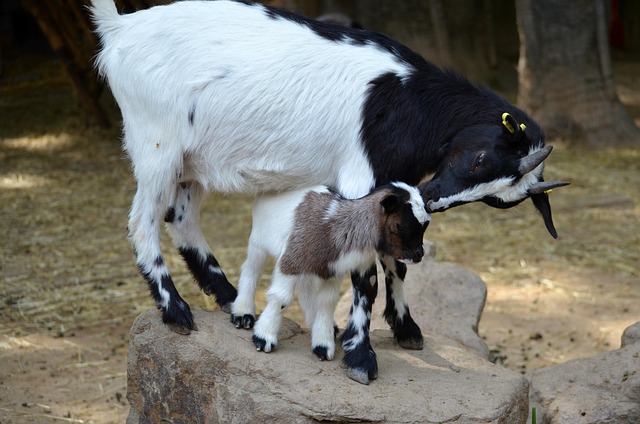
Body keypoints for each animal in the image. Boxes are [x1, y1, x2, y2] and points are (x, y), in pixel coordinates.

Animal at [232, 183, 429, 372]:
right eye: (402, 226)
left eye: (425, 225)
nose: (419, 255)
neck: (337, 227)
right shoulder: (291, 260)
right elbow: (281, 299)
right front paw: (263, 338)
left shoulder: (332, 272)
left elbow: (327, 302)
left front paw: (323, 345)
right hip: (258, 240)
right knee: (250, 270)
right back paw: (243, 312)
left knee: (305, 289)